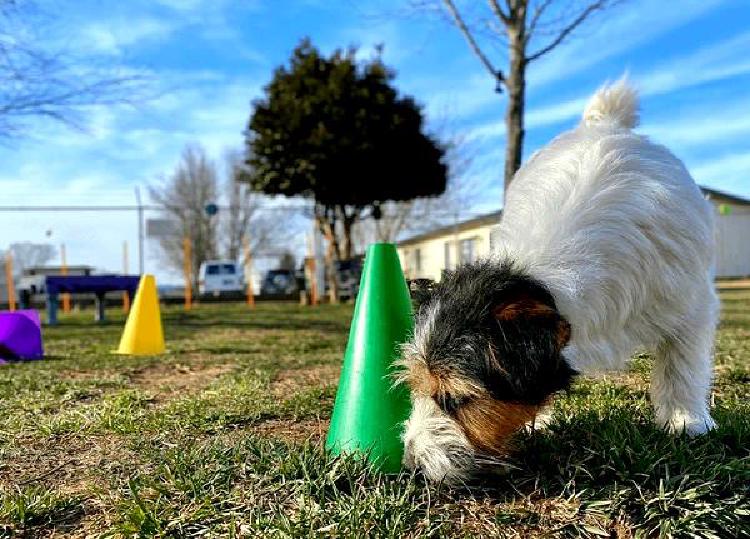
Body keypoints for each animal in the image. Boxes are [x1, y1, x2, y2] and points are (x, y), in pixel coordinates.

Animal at [402, 78, 720, 484]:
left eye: (454, 398)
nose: (411, 465)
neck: (541, 272)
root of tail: (605, 123)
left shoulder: (691, 303)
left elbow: (682, 363)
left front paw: (686, 422)